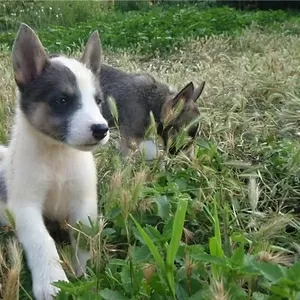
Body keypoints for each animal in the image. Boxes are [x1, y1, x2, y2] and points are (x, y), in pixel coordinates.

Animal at [0, 24, 109, 300]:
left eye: (98, 101)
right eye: (62, 101)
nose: (101, 129)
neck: (58, 157)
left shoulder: (83, 201)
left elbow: (84, 236)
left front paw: (85, 272)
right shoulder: (25, 207)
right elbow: (43, 241)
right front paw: (51, 280)